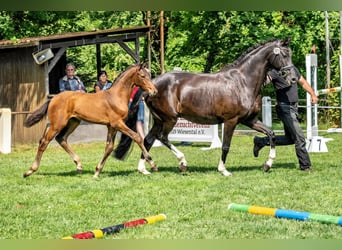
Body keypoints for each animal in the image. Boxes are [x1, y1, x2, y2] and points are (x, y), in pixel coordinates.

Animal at [22, 62, 158, 178]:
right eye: (143, 76)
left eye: (149, 75)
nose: (154, 91)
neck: (115, 97)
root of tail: (53, 99)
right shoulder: (117, 123)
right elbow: (137, 137)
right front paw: (152, 164)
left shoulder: (111, 126)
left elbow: (109, 147)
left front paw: (97, 171)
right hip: (57, 124)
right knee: (44, 142)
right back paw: (29, 171)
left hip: (73, 122)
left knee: (61, 139)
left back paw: (79, 165)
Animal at [114, 38, 300, 176]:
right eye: (284, 54)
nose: (293, 78)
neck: (243, 82)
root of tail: (152, 84)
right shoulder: (231, 120)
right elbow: (226, 145)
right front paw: (223, 170)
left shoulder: (249, 120)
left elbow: (271, 134)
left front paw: (268, 164)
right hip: (170, 119)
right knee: (162, 138)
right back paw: (182, 163)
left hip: (160, 119)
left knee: (149, 139)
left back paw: (144, 169)